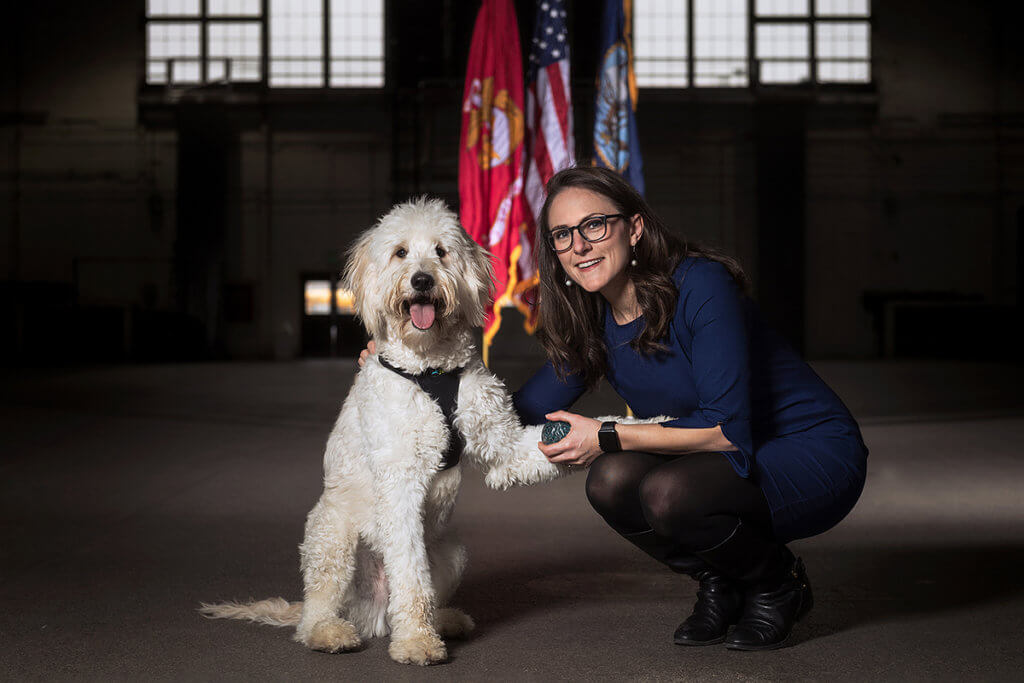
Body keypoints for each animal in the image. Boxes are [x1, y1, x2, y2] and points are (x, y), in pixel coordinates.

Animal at [200, 198, 663, 667]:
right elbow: (410, 574)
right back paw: (334, 632)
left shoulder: (503, 445)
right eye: (401, 252)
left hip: (451, 551)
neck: (430, 368)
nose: (422, 280)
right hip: (331, 538)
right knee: (318, 611)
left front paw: (652, 425)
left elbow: (547, 443)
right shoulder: (400, 480)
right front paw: (417, 644)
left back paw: (444, 619)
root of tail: (372, 615)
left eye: (441, 251)